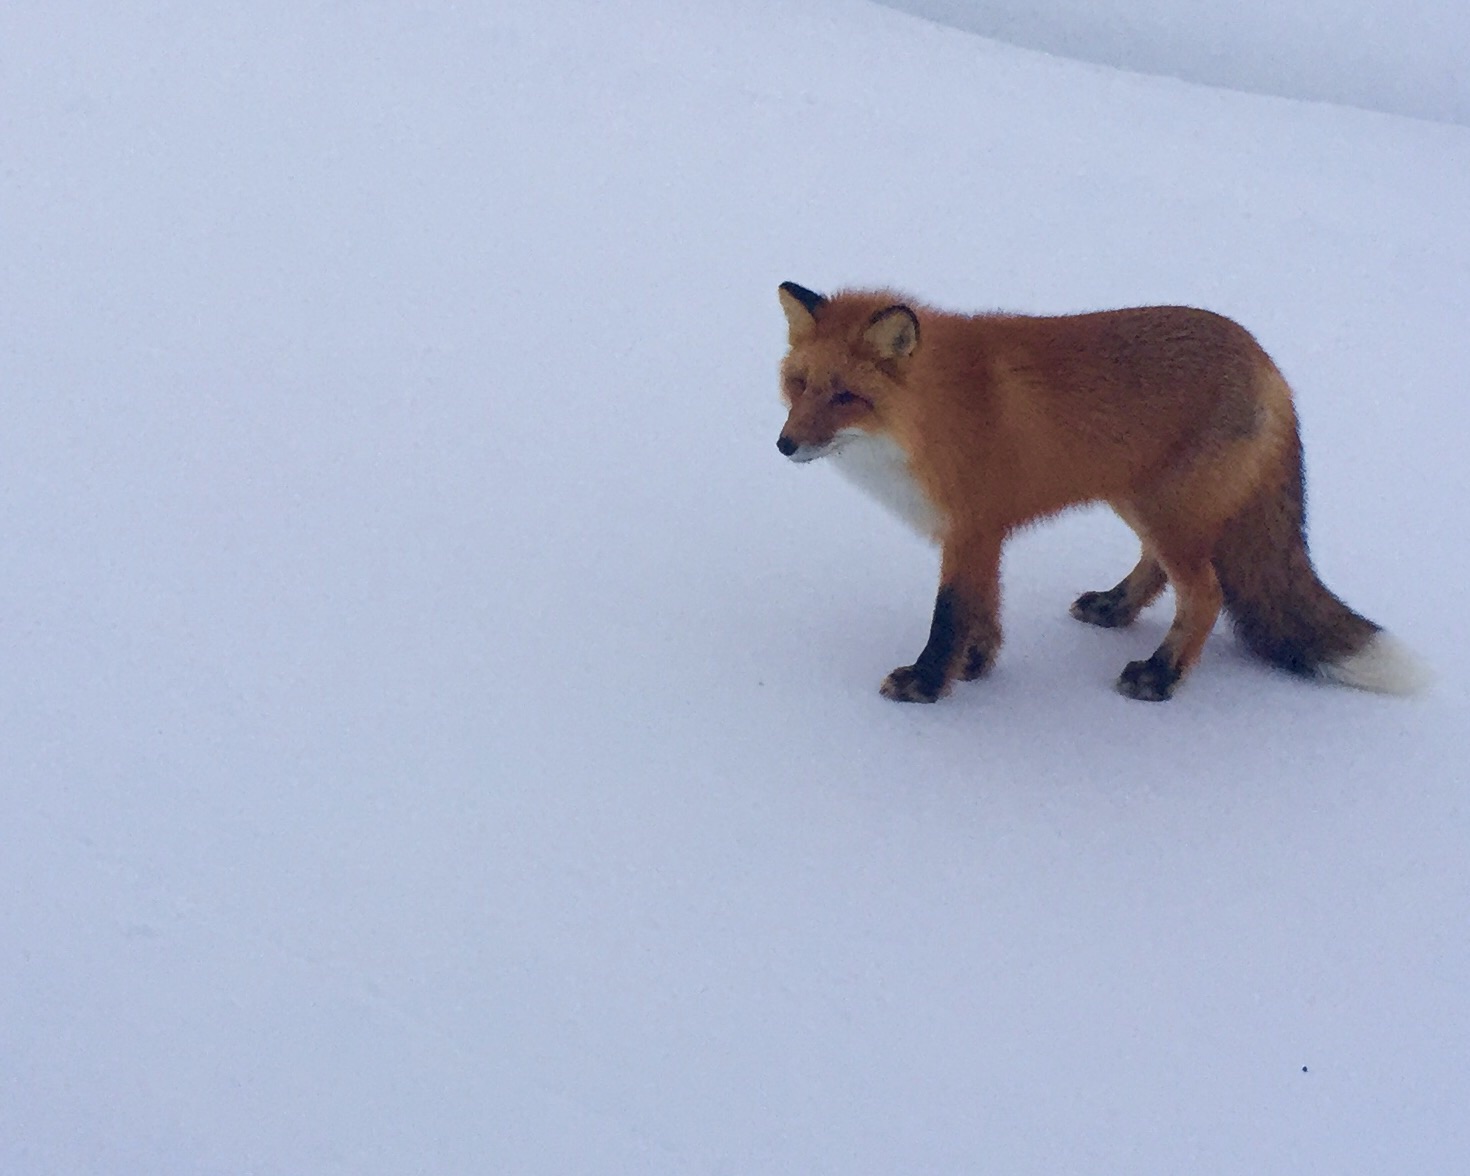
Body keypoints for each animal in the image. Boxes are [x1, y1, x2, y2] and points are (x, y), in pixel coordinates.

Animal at [774, 281, 1427, 703]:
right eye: (799, 384)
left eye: (846, 397)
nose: (784, 445)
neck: (926, 416)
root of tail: (1271, 366)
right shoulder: (983, 532)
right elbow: (983, 608)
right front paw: (977, 665)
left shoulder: (970, 526)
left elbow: (950, 614)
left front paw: (929, 683)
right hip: (1143, 501)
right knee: (1158, 569)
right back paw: (1114, 607)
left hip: (1167, 511)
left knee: (1206, 594)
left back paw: (1160, 676)